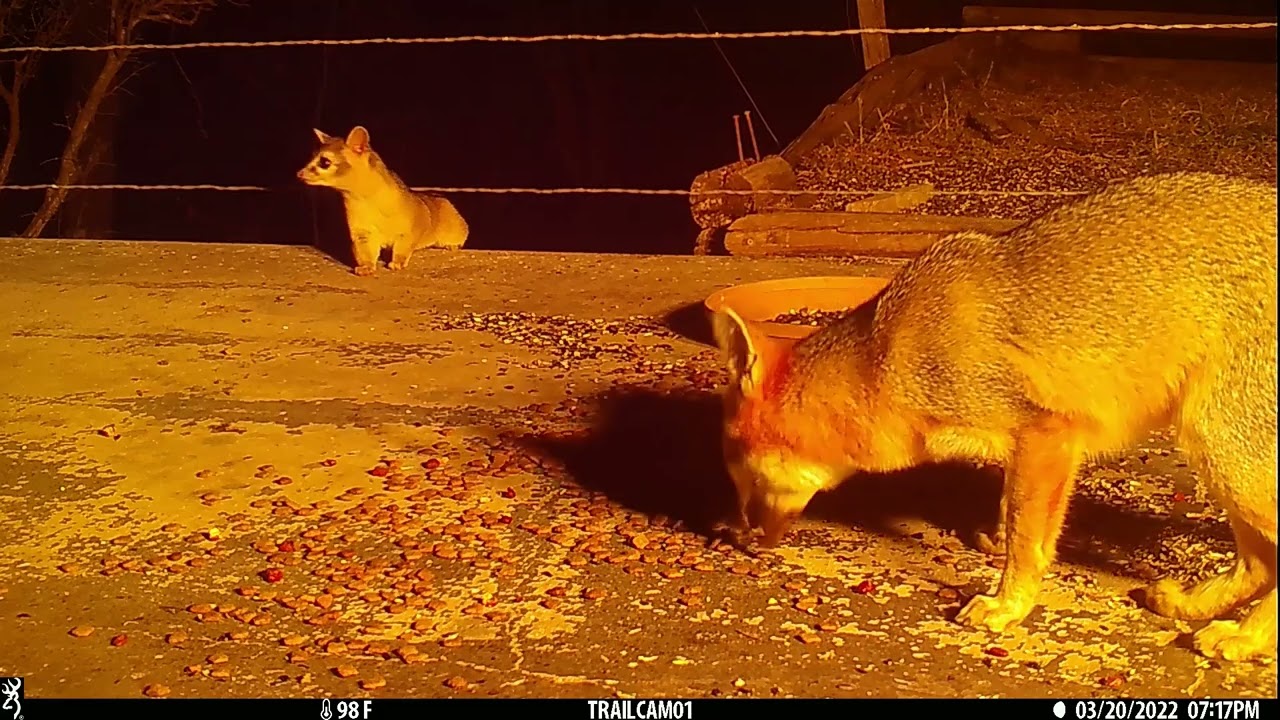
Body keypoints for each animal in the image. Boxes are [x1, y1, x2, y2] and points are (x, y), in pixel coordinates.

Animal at [297, 126, 468, 276]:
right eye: (311, 157)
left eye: (325, 162)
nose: (299, 174)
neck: (364, 201)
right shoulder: (362, 231)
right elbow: (365, 251)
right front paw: (366, 267)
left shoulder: (409, 228)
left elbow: (403, 247)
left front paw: (397, 262)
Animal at [711, 172, 1278, 663]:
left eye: (740, 474)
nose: (732, 537)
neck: (883, 360)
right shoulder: (1027, 448)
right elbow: (1013, 512)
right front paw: (996, 543)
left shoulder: (1048, 434)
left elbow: (1027, 543)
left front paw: (1009, 604)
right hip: (1222, 458)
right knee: (1258, 563)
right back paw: (1195, 605)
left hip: (1224, 449)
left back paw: (1245, 637)